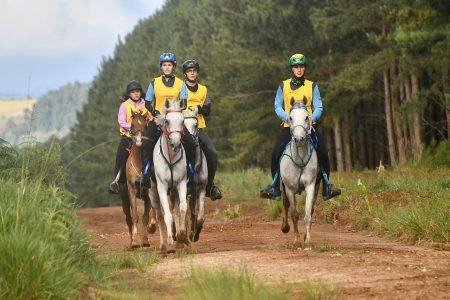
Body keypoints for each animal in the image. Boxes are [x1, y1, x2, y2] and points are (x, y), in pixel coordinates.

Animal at [120, 111, 157, 247]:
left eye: (145, 125)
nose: (140, 141)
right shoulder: (131, 191)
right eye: (132, 125)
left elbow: (146, 217)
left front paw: (146, 239)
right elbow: (135, 215)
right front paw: (135, 241)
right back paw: (131, 241)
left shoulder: (148, 193)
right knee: (128, 218)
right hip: (124, 197)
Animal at [282, 97, 320, 247]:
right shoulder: (289, 188)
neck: (300, 158)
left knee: (313, 208)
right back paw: (285, 227)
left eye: (306, 117)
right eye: (290, 118)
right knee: (285, 204)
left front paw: (307, 239)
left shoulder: (310, 185)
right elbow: (294, 214)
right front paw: (296, 239)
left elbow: (308, 213)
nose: (299, 139)